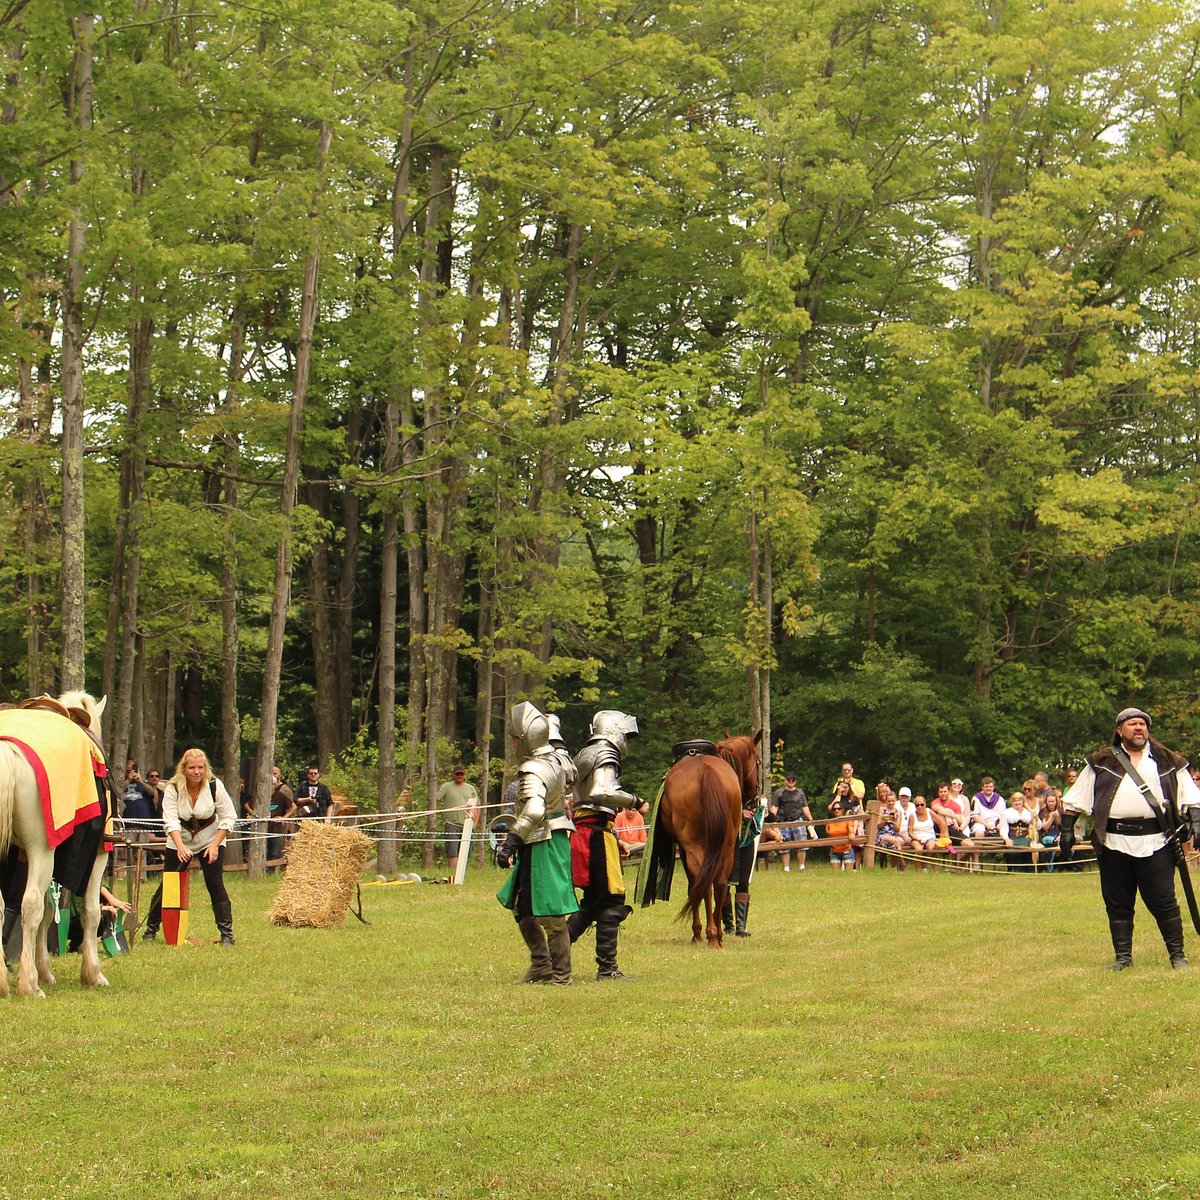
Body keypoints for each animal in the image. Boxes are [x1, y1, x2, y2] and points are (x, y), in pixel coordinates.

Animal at [1, 691, 111, 998]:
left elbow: (50, 912)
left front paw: (46, 971)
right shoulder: (97, 854)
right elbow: (90, 910)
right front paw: (93, 973)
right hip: (41, 849)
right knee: (30, 906)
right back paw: (28, 984)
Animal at [648, 729, 758, 945]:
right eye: (758, 762)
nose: (755, 800)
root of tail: (706, 770)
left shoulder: (684, 849)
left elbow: (693, 886)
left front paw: (698, 931)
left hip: (695, 846)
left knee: (704, 884)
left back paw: (708, 933)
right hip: (726, 846)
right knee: (720, 884)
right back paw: (717, 935)